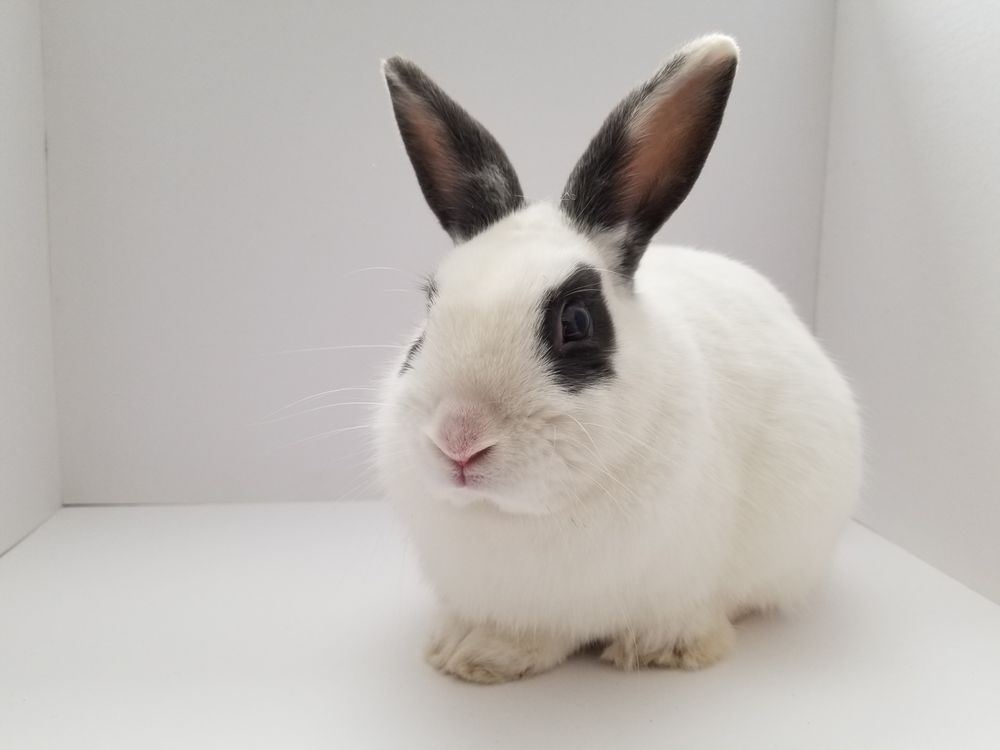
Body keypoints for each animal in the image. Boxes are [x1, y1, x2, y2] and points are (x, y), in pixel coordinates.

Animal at [375, 34, 862, 684]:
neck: (519, 516)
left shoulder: (680, 580)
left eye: (576, 322)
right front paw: (472, 653)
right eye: (429, 309)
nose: (458, 440)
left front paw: (664, 651)